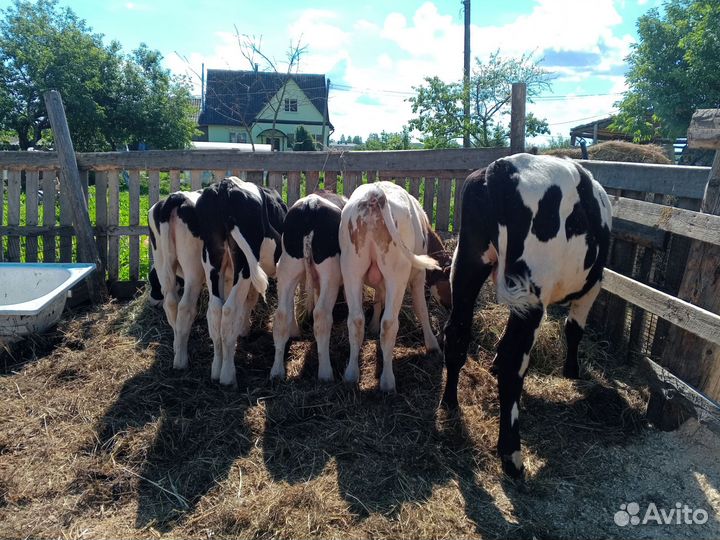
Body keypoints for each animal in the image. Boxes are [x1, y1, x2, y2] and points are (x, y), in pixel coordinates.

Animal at [148, 191, 204, 370]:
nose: (152, 300)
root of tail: (177, 196)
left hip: (161, 259)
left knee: (171, 304)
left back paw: (177, 347)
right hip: (194, 268)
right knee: (185, 307)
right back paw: (181, 361)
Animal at [194, 177, 287, 387]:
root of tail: (225, 185)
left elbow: (249, 299)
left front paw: (244, 329)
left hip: (212, 256)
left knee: (215, 310)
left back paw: (216, 370)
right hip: (243, 262)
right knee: (229, 310)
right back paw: (228, 375)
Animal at [271, 190, 348, 382]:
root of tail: (311, 205)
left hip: (287, 267)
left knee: (281, 315)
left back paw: (276, 371)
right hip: (331, 273)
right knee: (321, 315)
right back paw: (326, 373)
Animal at [340, 181, 442, 392]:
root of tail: (374, 194)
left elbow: (378, 299)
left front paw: (372, 325)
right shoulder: (418, 276)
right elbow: (421, 309)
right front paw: (432, 344)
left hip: (351, 269)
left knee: (356, 320)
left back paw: (351, 374)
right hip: (397, 274)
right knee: (389, 324)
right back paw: (387, 381)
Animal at [441, 153, 612, 479]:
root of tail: (503, 167)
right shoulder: (593, 285)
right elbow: (574, 329)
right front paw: (572, 371)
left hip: (467, 265)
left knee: (457, 334)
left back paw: (449, 403)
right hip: (532, 291)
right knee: (514, 362)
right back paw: (512, 455)